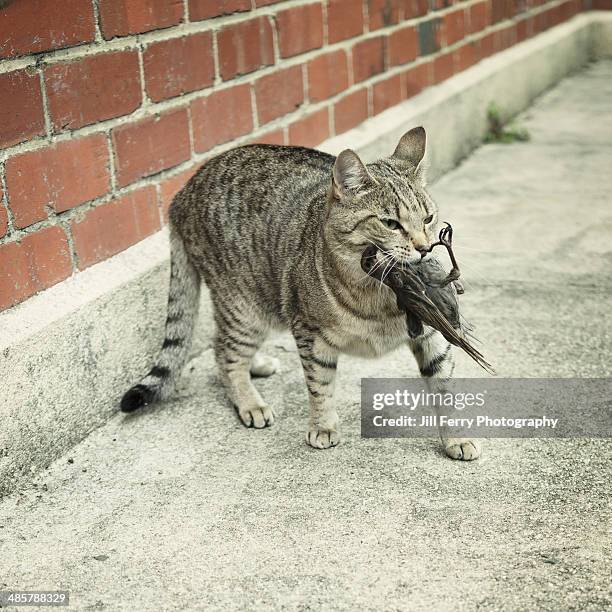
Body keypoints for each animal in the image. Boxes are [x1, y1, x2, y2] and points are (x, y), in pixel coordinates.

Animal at [120, 130, 482, 464]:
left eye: (428, 218)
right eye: (390, 223)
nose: (424, 248)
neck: (378, 295)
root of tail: (183, 192)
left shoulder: (433, 332)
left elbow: (444, 386)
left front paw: (457, 437)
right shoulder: (310, 332)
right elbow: (319, 384)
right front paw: (323, 426)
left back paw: (258, 365)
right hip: (244, 308)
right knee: (224, 353)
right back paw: (250, 402)